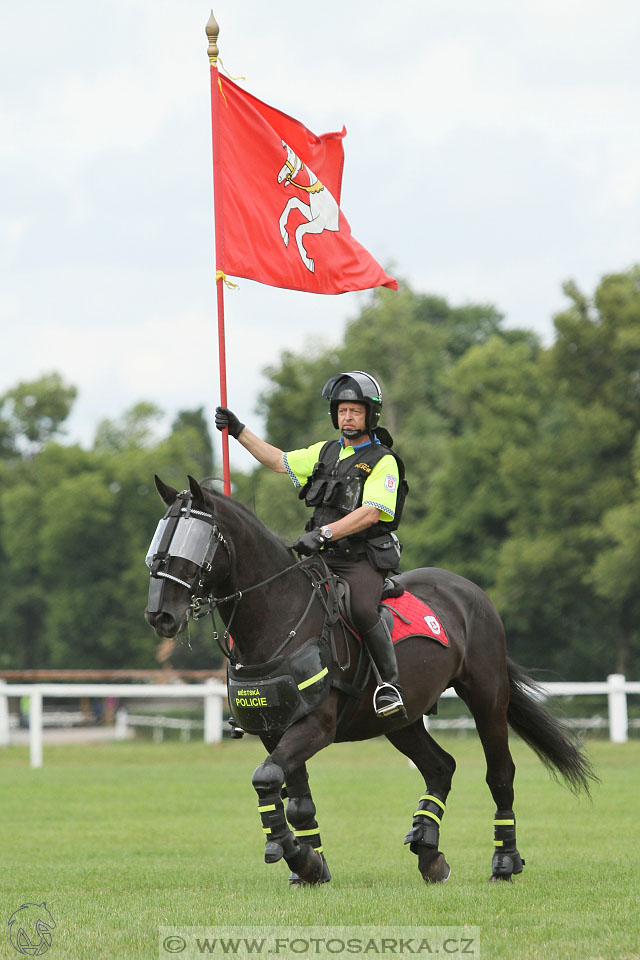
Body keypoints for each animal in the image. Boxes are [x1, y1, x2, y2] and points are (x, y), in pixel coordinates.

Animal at [145, 476, 596, 888]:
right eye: (158, 543)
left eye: (192, 540)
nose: (160, 615)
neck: (280, 616)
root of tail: (470, 592)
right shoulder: (275, 730)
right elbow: (295, 800)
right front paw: (309, 864)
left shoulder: (317, 726)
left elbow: (268, 780)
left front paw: (295, 855)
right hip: (401, 720)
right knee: (440, 767)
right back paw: (428, 851)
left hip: (487, 696)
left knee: (500, 773)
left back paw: (504, 861)